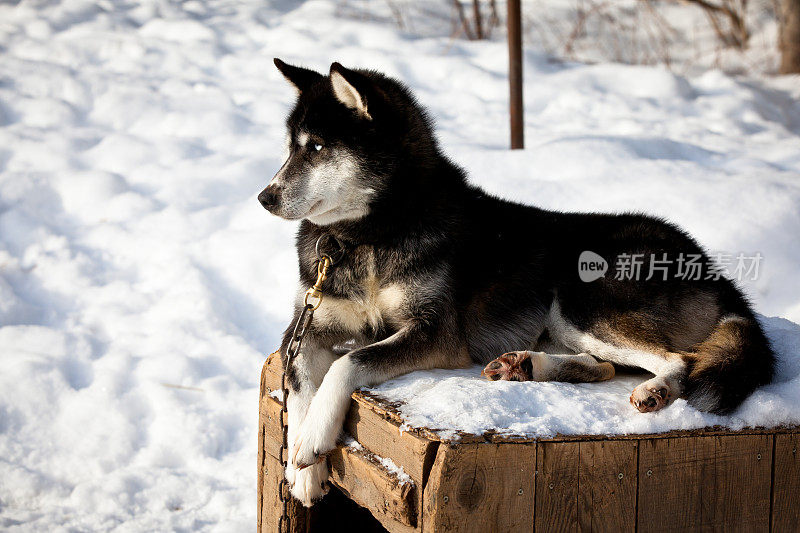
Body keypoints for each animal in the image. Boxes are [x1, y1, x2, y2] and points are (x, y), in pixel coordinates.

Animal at [262, 60, 776, 504]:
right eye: (289, 147)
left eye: (317, 147)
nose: (264, 198)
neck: (369, 235)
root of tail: (711, 267)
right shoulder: (306, 326)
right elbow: (299, 380)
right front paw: (304, 466)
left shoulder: (435, 332)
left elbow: (348, 363)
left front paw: (312, 441)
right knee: (604, 367)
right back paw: (525, 366)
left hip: (579, 299)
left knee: (677, 360)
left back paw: (653, 390)